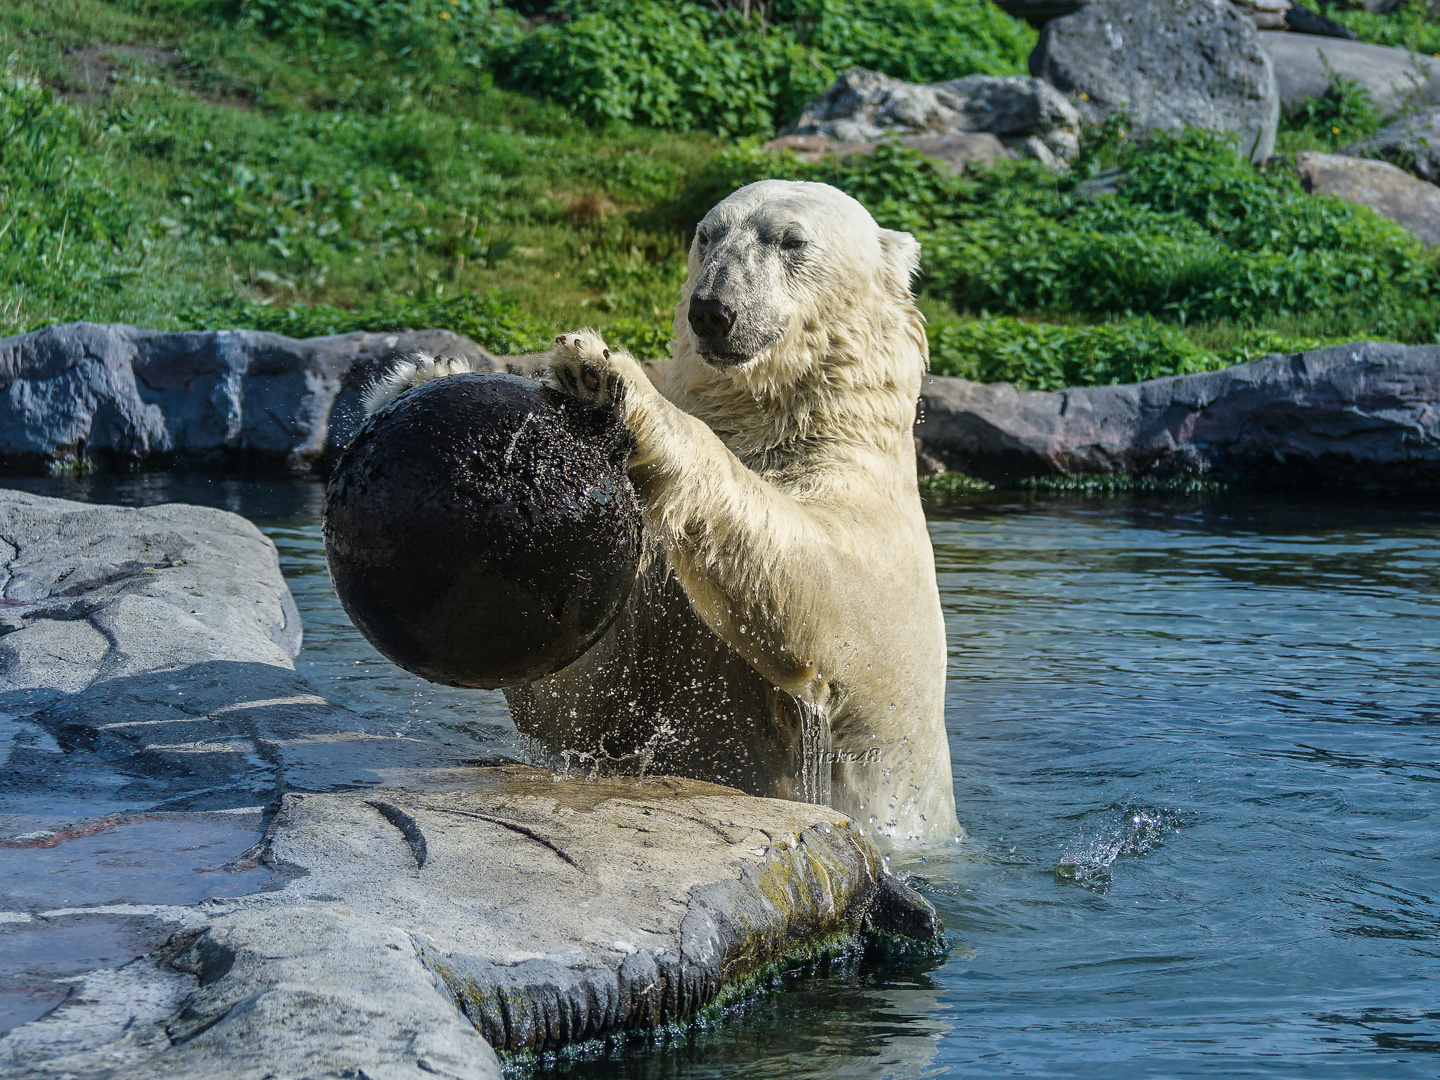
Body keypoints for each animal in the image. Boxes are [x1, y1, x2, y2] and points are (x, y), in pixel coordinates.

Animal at [365, 182, 961, 846]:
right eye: (708, 234)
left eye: (791, 241)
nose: (713, 310)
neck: (793, 426)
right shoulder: (650, 602)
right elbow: (580, 701)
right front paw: (418, 376)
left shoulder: (884, 573)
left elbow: (823, 600)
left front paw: (607, 378)